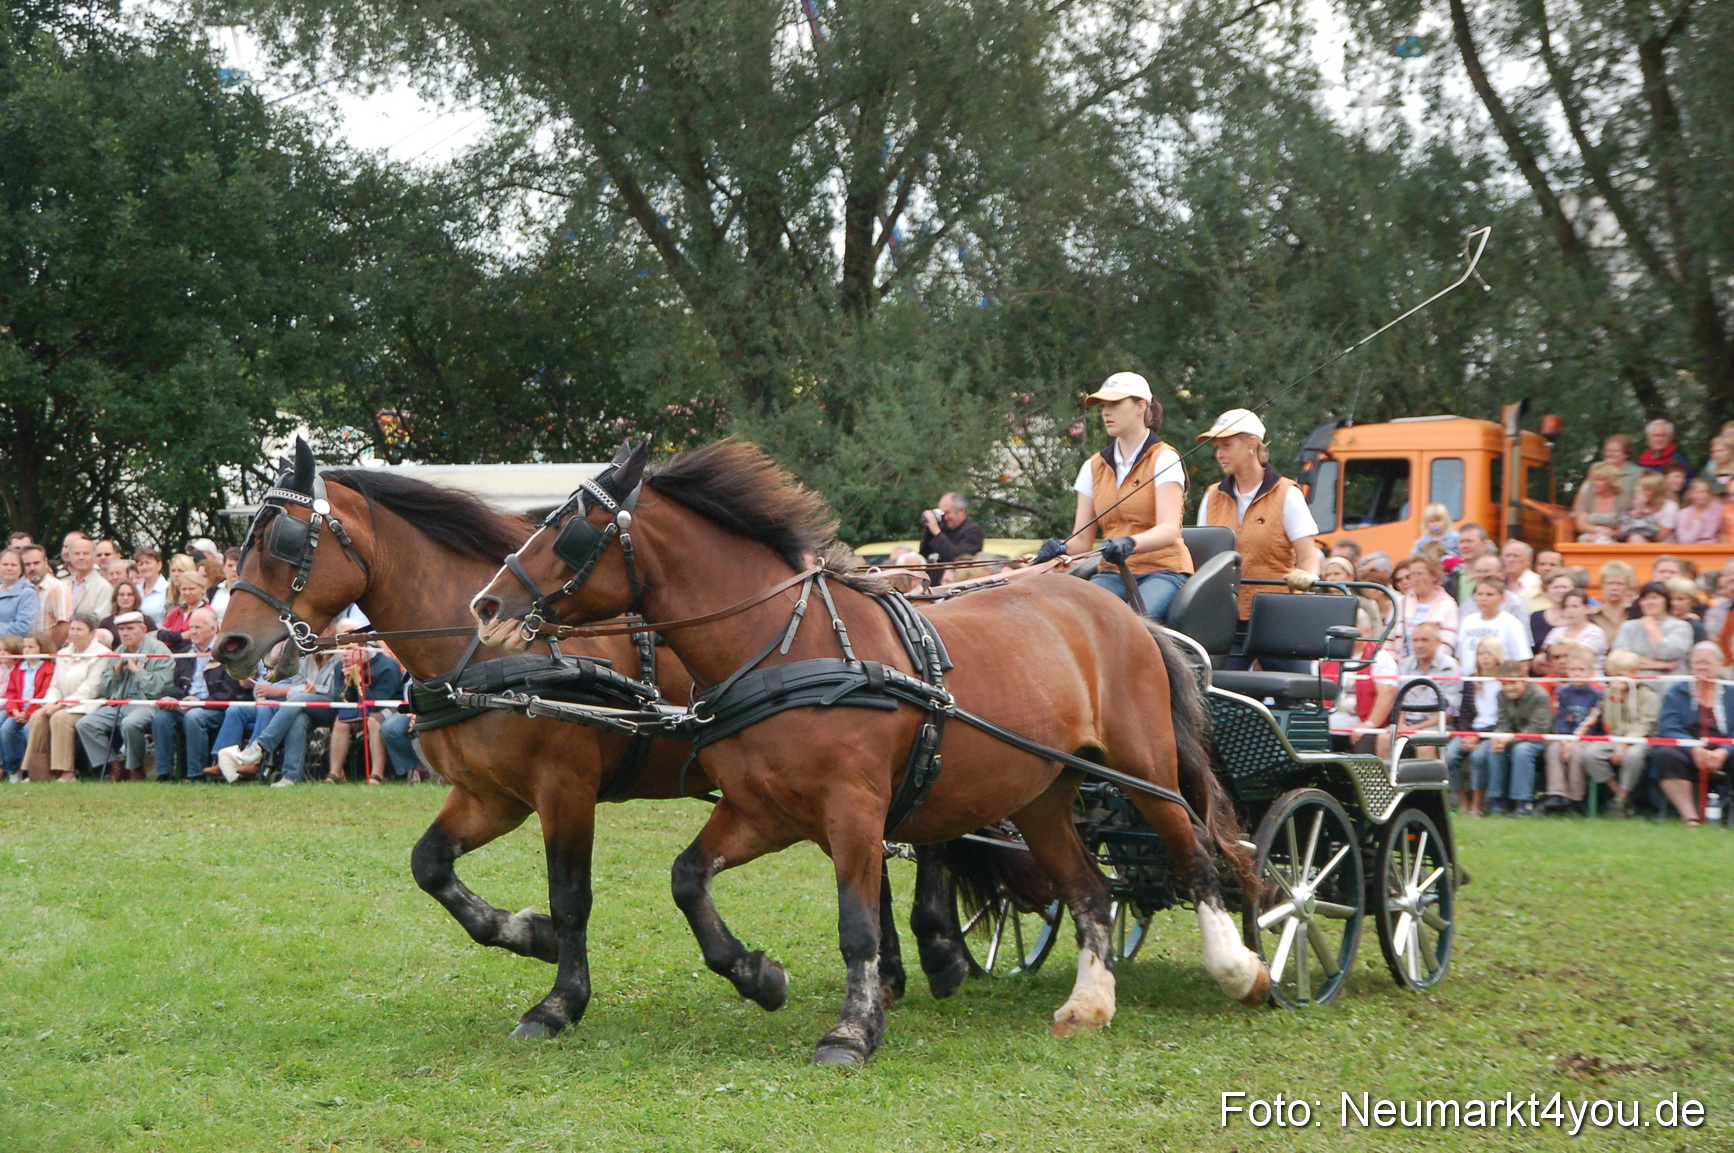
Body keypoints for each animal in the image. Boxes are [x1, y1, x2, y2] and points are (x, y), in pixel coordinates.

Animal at [212, 442, 964, 1039]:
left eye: (280, 540)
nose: (228, 645)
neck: (485, 650)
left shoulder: (563, 788)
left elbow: (572, 894)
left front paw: (560, 1001)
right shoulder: (489, 795)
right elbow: (430, 866)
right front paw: (528, 933)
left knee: (929, 836)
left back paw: (941, 947)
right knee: (878, 851)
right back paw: (893, 971)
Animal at [471, 439, 1272, 1066]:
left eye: (569, 527)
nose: (486, 604)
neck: (786, 646)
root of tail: (1123, 612)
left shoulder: (853, 809)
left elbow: (855, 921)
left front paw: (852, 1031)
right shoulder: (763, 810)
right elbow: (688, 878)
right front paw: (758, 975)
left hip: (1141, 768)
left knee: (1194, 853)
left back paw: (1240, 968)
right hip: (1043, 794)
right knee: (1090, 890)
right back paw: (1089, 1003)